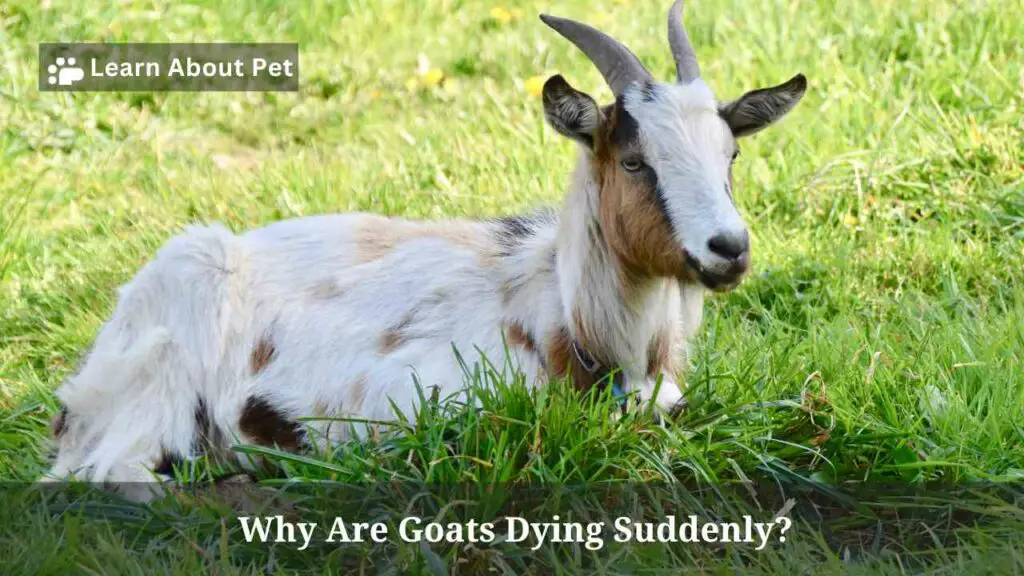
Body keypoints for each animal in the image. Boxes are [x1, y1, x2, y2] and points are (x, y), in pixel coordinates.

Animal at [43, 1, 806, 492]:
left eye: (731, 153)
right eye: (635, 161)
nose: (728, 248)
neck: (574, 323)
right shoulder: (415, 398)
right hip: (160, 378)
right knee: (107, 476)